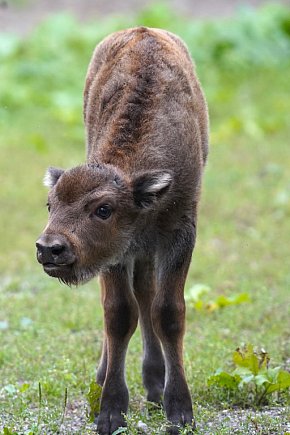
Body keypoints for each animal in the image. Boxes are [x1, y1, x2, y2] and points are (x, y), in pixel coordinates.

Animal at [36, 28, 208, 435]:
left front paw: (179, 410)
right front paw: (111, 410)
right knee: (134, 298)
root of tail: (144, 29)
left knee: (147, 294)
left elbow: (168, 312)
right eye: (50, 205)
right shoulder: (116, 254)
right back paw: (108, 380)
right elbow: (118, 314)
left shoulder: (179, 234)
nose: (49, 248)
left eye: (103, 209)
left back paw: (155, 385)